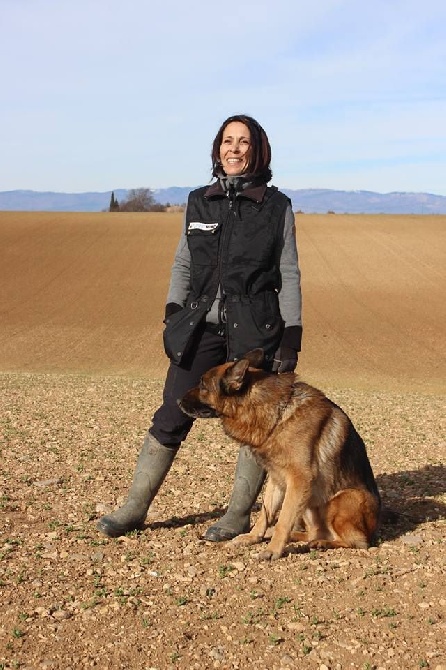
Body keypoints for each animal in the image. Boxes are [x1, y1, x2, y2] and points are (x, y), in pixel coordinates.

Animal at [179, 352, 382, 560]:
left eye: (203, 385)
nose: (177, 400)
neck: (278, 413)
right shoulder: (277, 479)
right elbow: (265, 513)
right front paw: (252, 537)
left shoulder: (299, 480)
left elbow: (283, 519)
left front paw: (273, 550)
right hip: (309, 504)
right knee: (313, 532)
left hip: (344, 498)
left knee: (357, 542)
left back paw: (323, 543)